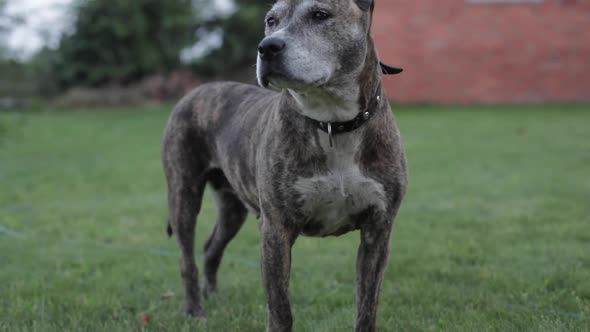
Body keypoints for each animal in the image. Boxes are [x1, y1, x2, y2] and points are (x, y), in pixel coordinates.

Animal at [164, 0, 410, 330]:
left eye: (320, 14)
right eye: (271, 20)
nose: (267, 47)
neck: (333, 123)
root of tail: (198, 90)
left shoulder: (378, 231)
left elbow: (367, 305)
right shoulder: (276, 229)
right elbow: (280, 306)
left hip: (232, 206)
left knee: (211, 246)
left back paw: (212, 295)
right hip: (184, 193)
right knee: (186, 256)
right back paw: (195, 309)